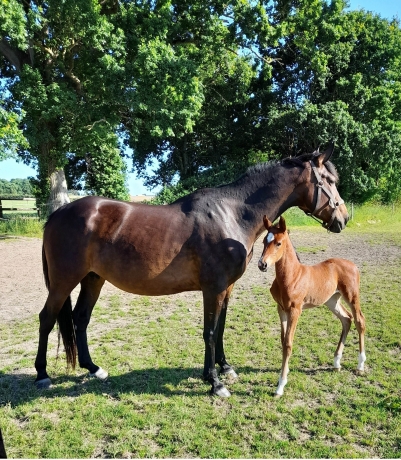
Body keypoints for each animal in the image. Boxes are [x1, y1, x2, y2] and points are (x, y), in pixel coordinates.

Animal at [35, 144, 346, 396]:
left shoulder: (227, 288)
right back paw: (42, 375)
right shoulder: (213, 288)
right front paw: (214, 382)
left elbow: (220, 328)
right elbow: (209, 331)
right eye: (330, 181)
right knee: (47, 318)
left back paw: (94, 368)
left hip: (93, 278)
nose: (343, 218)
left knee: (80, 318)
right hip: (64, 281)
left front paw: (225, 368)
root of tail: (57, 214)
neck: (231, 215)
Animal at [256, 216, 366, 396]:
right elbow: (283, 340)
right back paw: (336, 362)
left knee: (359, 321)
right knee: (346, 319)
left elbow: (288, 343)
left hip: (352, 296)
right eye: (264, 241)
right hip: (332, 300)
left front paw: (280, 386)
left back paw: (360, 365)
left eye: (278, 243)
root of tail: (353, 265)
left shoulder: (295, 310)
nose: (262, 264)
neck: (291, 276)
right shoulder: (281, 309)